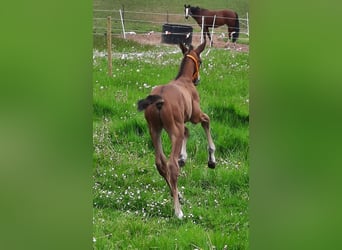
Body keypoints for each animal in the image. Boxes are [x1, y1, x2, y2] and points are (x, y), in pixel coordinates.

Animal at [137, 41, 215, 219]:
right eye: (200, 61)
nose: (197, 80)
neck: (184, 80)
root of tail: (158, 100)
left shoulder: (181, 121)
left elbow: (188, 131)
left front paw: (183, 157)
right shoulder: (195, 116)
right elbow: (206, 121)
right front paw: (211, 160)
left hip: (154, 130)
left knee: (160, 163)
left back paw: (177, 195)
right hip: (174, 130)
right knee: (171, 165)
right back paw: (178, 211)